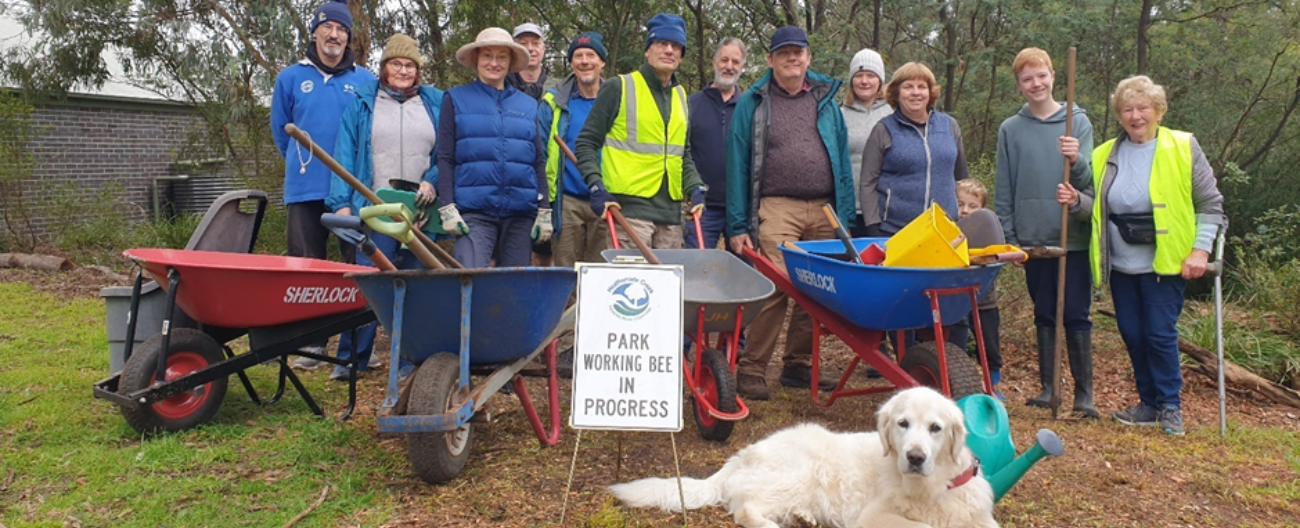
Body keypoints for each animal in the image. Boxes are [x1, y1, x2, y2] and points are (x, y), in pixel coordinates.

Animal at [605, 382, 993, 528]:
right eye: (903, 423)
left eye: (935, 428)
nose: (914, 457)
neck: (933, 488)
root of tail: (739, 456)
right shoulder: (874, 517)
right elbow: (918, 525)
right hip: (799, 473)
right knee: (745, 510)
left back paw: (803, 517)